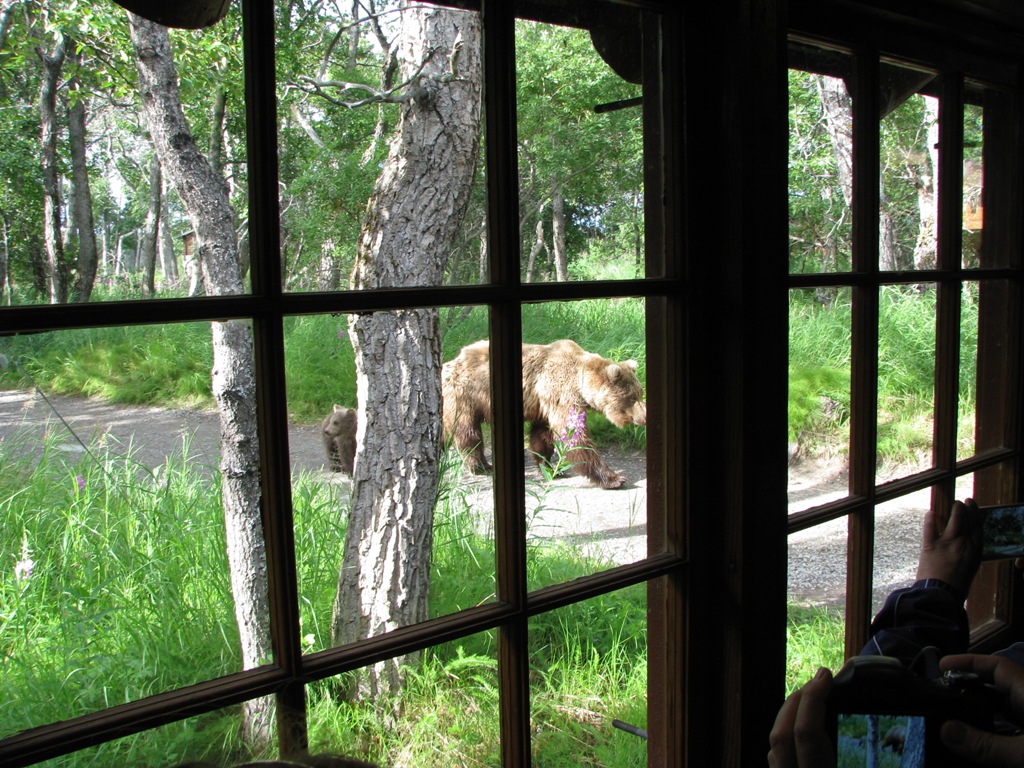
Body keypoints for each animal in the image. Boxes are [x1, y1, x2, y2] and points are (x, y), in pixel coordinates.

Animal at [442, 339, 647, 489]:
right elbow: (573, 435)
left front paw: (550, 467)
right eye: (631, 397)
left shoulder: (545, 403)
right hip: (465, 395)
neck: (580, 382)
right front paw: (614, 478)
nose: (644, 417)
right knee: (468, 432)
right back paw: (481, 466)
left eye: (639, 393)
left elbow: (542, 435)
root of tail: (447, 364)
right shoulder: (561, 393)